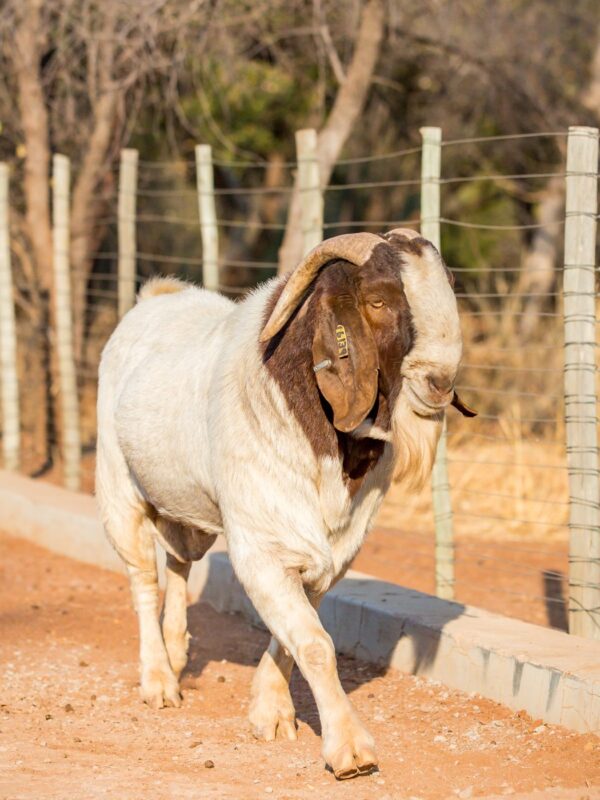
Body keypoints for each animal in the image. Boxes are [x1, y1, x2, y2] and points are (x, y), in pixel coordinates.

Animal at [96, 228, 476, 780]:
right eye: (378, 300)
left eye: (448, 287)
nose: (439, 383)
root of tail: (156, 297)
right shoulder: (263, 545)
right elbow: (315, 643)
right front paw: (350, 750)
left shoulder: (335, 549)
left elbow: (295, 634)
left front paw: (270, 712)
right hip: (119, 491)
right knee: (143, 579)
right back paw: (159, 680)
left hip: (183, 507)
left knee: (178, 562)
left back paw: (177, 652)